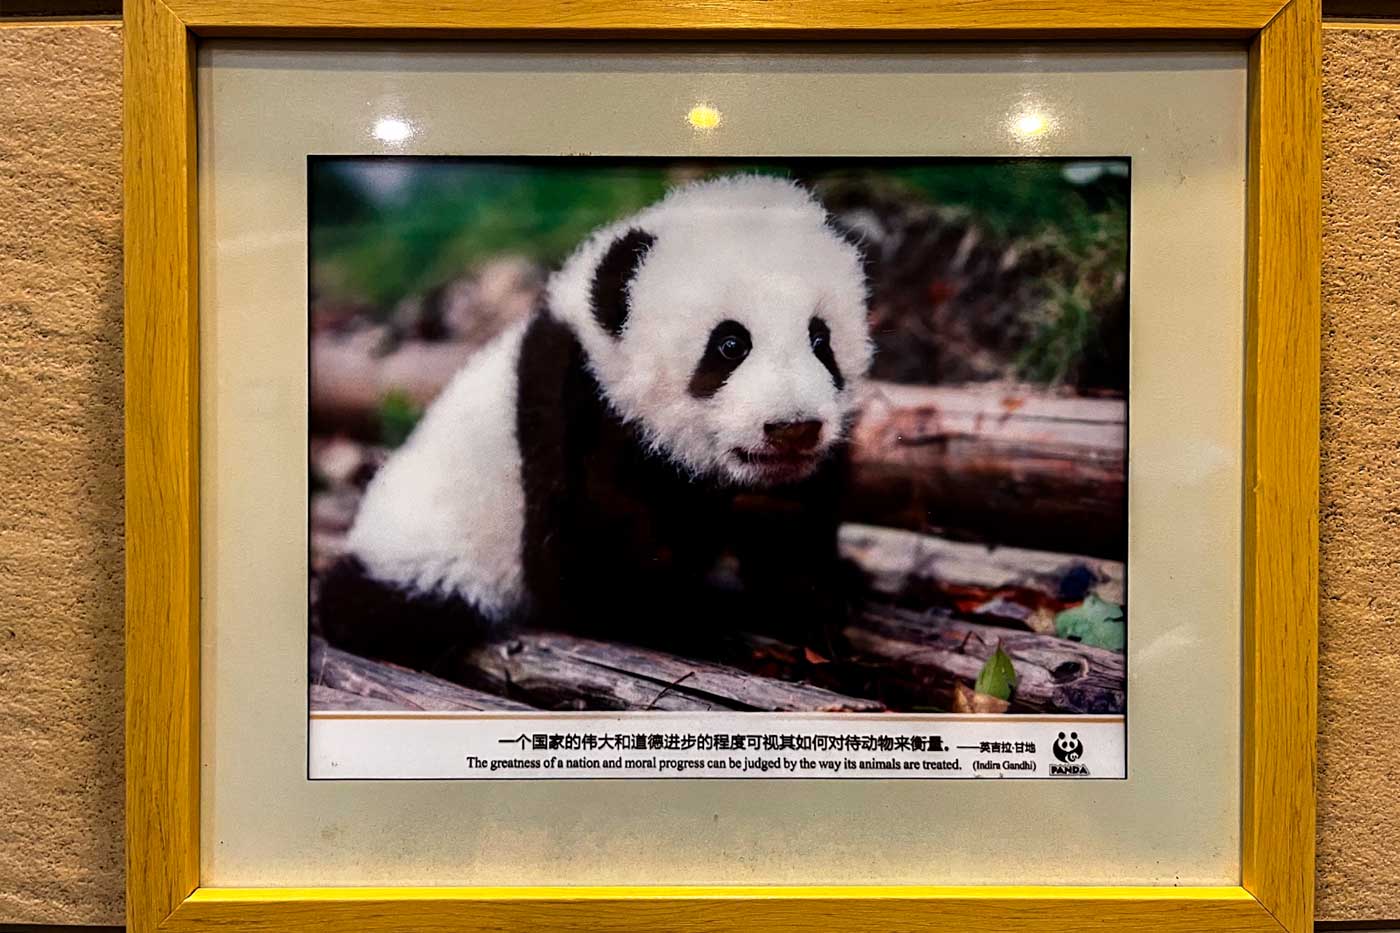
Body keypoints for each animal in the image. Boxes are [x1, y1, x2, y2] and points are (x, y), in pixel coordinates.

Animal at [318, 175, 875, 675]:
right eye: (730, 344)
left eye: (820, 340)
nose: (793, 427)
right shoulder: (582, 416)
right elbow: (593, 571)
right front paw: (704, 624)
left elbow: (792, 522)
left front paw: (818, 603)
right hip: (432, 550)